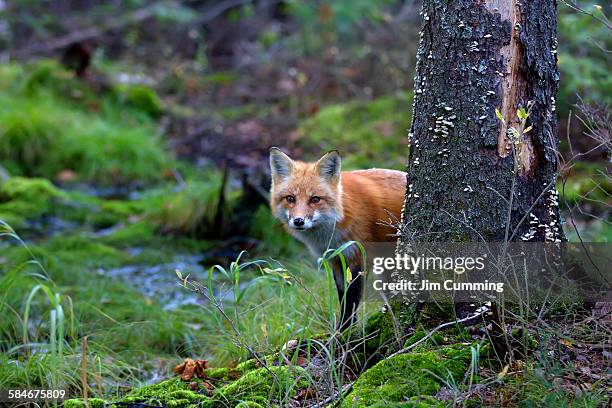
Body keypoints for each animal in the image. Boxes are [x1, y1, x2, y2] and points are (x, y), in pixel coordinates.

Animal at [268, 148, 406, 330]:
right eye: (290, 198)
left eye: (315, 199)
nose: (298, 221)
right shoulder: (335, 258)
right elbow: (342, 296)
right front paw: (341, 329)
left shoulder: (358, 257)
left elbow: (351, 299)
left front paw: (346, 331)